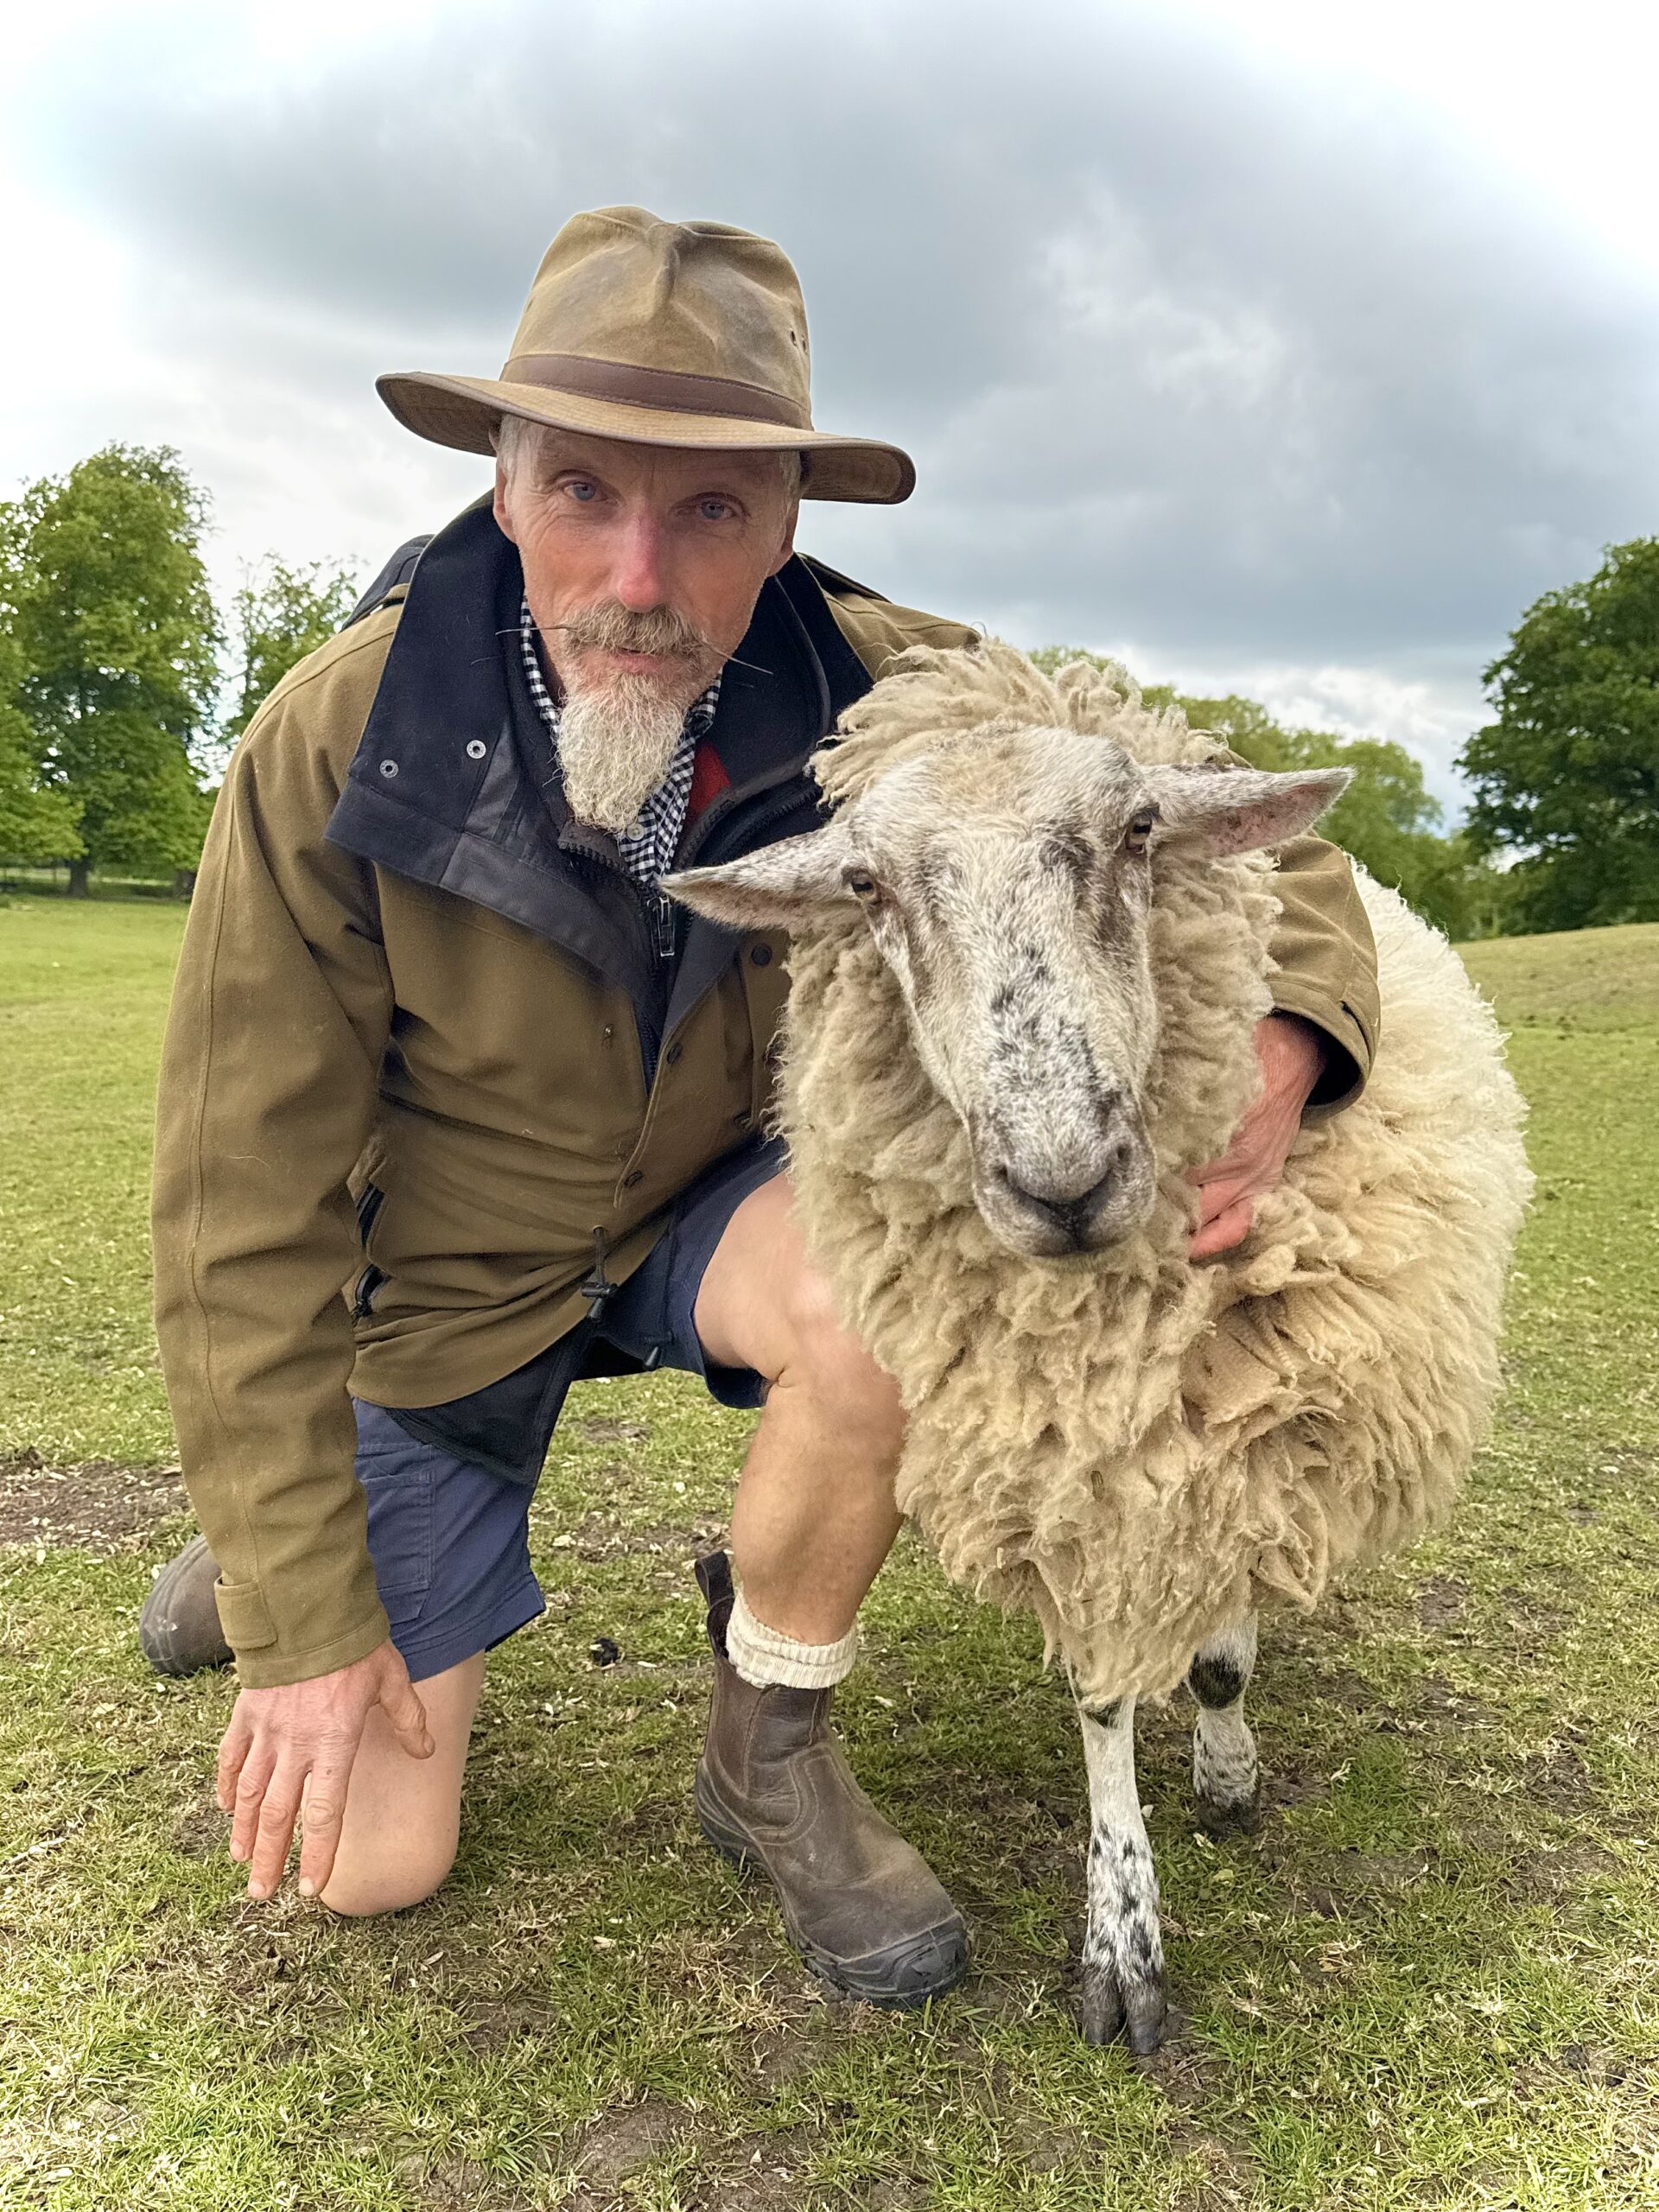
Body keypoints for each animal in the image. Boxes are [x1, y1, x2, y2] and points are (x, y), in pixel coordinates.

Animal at [665, 643, 1532, 2050]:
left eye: (1138, 833)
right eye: (865, 887)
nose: (1060, 1181)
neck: (1113, 1337)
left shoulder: (1238, 1429)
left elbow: (1221, 1654)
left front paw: (1224, 1764)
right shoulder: (1081, 1474)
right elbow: (1103, 1697)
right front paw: (1121, 1933)